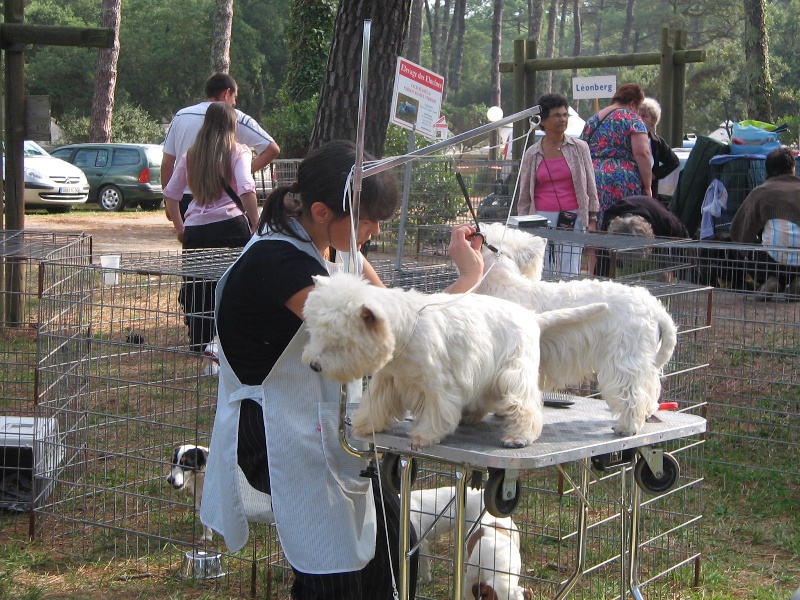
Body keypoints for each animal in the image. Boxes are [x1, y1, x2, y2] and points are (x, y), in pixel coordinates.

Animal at [301, 272, 607, 450]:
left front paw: (423, 437)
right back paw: (471, 415)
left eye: (339, 341)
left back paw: (517, 436)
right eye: (314, 331)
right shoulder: (388, 378)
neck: (405, 330)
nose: (314, 365)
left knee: (525, 405)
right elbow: (376, 402)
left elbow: (437, 410)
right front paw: (365, 425)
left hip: (514, 371)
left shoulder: (438, 383)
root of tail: (533, 317)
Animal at [477, 222, 678, 436]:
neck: (502, 283)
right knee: (649, 391)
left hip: (623, 360)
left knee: (632, 394)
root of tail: (655, 308)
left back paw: (626, 427)